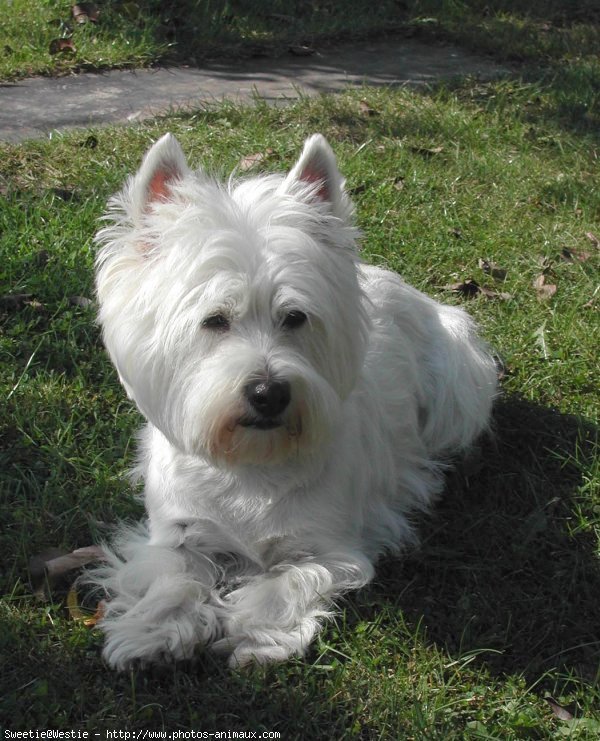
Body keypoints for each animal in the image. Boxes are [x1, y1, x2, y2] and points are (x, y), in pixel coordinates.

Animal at [90, 133, 496, 672]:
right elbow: (171, 573)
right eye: (214, 320)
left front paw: (254, 634)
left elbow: (289, 582)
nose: (269, 393)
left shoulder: (328, 544)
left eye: (295, 317)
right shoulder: (176, 531)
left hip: (458, 381)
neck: (249, 466)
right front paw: (151, 630)